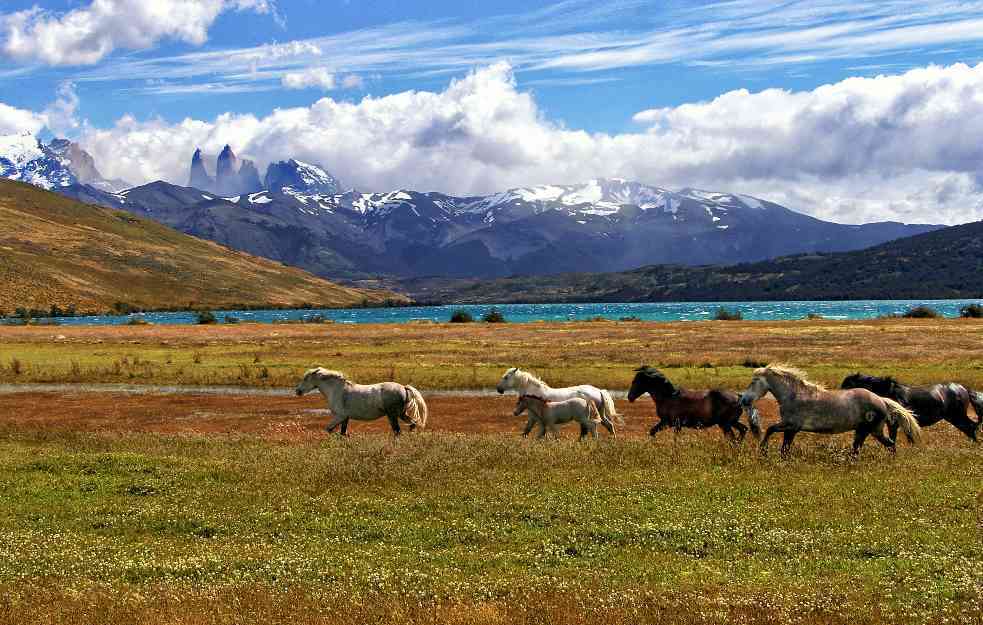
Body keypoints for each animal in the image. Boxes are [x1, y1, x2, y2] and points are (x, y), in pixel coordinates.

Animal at [294, 368, 428, 436]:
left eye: (306, 378)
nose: (297, 391)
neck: (336, 390)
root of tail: (404, 387)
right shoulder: (345, 418)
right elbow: (343, 433)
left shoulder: (340, 416)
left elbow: (329, 429)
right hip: (401, 414)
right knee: (412, 424)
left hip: (392, 415)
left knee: (398, 431)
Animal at [496, 366, 628, 434]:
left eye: (506, 377)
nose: (498, 389)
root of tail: (599, 391)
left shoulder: (532, 417)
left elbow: (527, 430)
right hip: (600, 413)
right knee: (608, 425)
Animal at [628, 366, 756, 438]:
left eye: (636, 381)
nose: (630, 397)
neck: (668, 397)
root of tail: (739, 397)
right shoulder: (666, 423)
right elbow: (652, 432)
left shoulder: (673, 424)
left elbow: (675, 439)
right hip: (732, 422)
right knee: (743, 430)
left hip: (725, 424)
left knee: (733, 439)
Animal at [836, 372, 983, 442]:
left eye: (847, 386)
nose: (838, 399)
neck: (888, 393)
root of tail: (963, 388)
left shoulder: (894, 424)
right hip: (955, 418)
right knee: (970, 428)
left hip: (957, 416)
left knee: (970, 427)